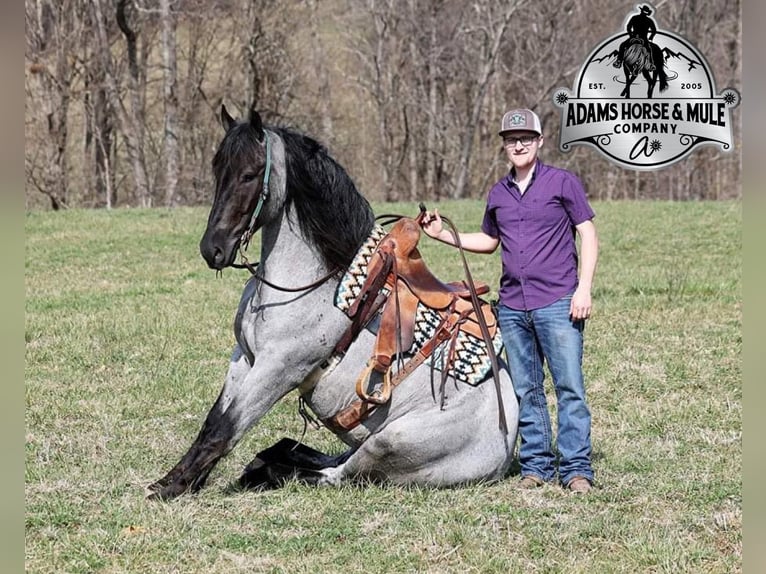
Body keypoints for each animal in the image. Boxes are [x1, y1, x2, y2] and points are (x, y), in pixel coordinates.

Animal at [147, 106, 520, 502]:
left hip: (386, 444)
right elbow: (214, 422)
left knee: (334, 474)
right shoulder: (245, 358)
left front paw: (174, 486)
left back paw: (269, 469)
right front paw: (179, 479)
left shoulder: (278, 370)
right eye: (219, 171)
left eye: (249, 174)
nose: (212, 249)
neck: (310, 280)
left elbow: (225, 429)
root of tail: (506, 445)